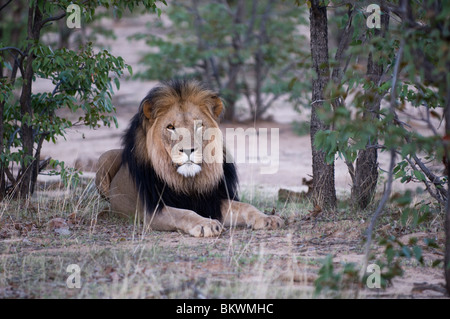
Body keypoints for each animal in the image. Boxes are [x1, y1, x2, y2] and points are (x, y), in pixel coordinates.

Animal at [96, 80, 284, 238]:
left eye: (198, 125)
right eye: (170, 127)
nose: (188, 150)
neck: (188, 182)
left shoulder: (210, 201)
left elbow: (245, 206)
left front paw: (267, 218)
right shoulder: (152, 210)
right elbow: (183, 213)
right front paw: (206, 224)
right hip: (104, 158)